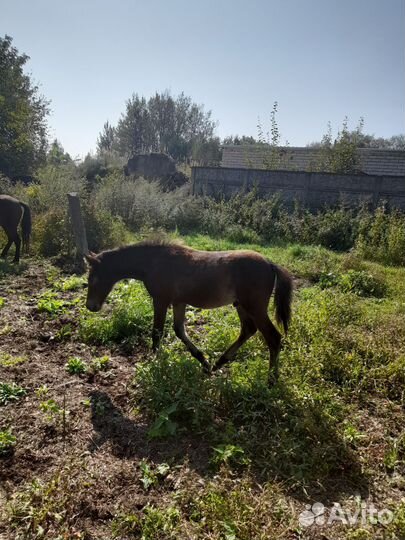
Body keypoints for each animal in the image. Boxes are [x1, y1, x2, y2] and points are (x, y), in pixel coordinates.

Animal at [85, 240, 292, 384]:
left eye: (93, 278)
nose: (90, 306)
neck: (154, 262)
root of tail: (270, 263)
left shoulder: (161, 300)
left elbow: (157, 332)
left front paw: (153, 365)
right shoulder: (179, 302)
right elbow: (179, 330)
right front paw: (203, 361)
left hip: (255, 307)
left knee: (273, 338)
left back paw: (271, 380)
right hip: (240, 305)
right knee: (248, 330)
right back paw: (218, 363)